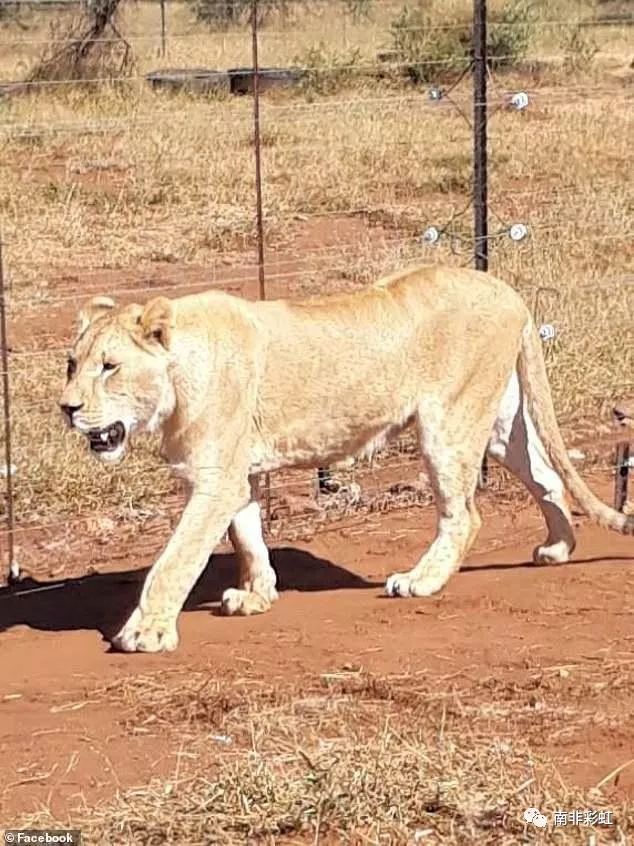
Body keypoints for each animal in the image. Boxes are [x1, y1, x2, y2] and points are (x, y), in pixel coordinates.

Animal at [56, 264, 628, 656]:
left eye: (109, 366)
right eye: (71, 363)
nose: (67, 408)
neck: (176, 377)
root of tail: (506, 290)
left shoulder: (215, 480)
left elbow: (175, 559)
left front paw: (146, 630)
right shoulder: (240, 476)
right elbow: (248, 538)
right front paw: (257, 596)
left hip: (447, 421)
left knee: (464, 514)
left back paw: (420, 581)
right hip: (498, 420)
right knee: (547, 475)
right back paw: (557, 547)